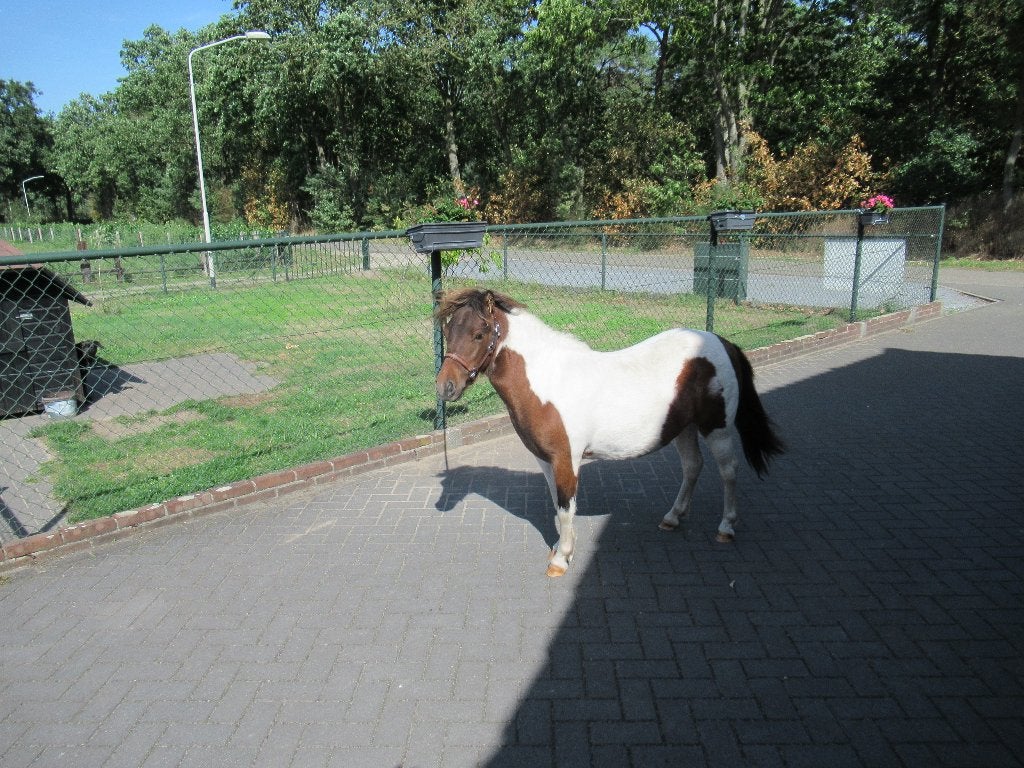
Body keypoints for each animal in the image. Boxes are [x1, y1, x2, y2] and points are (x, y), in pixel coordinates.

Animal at [435, 287, 785, 577]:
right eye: (448, 331)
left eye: (479, 334)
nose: (445, 387)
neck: (548, 379)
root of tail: (722, 343)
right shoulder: (545, 460)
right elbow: (557, 504)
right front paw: (560, 547)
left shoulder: (566, 459)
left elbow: (566, 508)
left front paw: (561, 560)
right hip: (684, 429)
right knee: (692, 467)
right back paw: (672, 517)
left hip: (717, 428)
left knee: (728, 471)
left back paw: (726, 527)